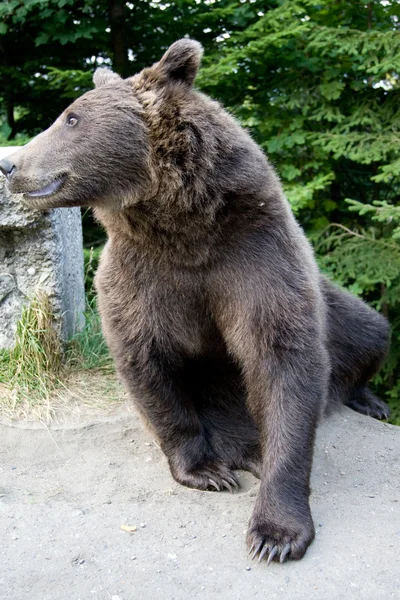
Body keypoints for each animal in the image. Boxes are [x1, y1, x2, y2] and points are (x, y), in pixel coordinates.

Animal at [0, 39, 390, 564]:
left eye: (72, 118)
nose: (10, 165)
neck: (181, 224)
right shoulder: (142, 273)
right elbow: (148, 361)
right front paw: (207, 470)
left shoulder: (252, 253)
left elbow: (283, 357)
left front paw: (276, 533)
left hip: (337, 304)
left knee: (370, 329)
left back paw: (368, 399)